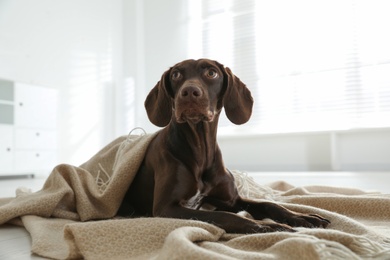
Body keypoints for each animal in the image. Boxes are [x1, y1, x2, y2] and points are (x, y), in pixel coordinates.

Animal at [119, 59, 330, 234]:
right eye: (176, 75)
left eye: (212, 73)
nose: (189, 93)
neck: (201, 149)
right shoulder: (166, 208)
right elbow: (224, 215)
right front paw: (264, 225)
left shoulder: (231, 200)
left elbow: (269, 204)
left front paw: (301, 217)